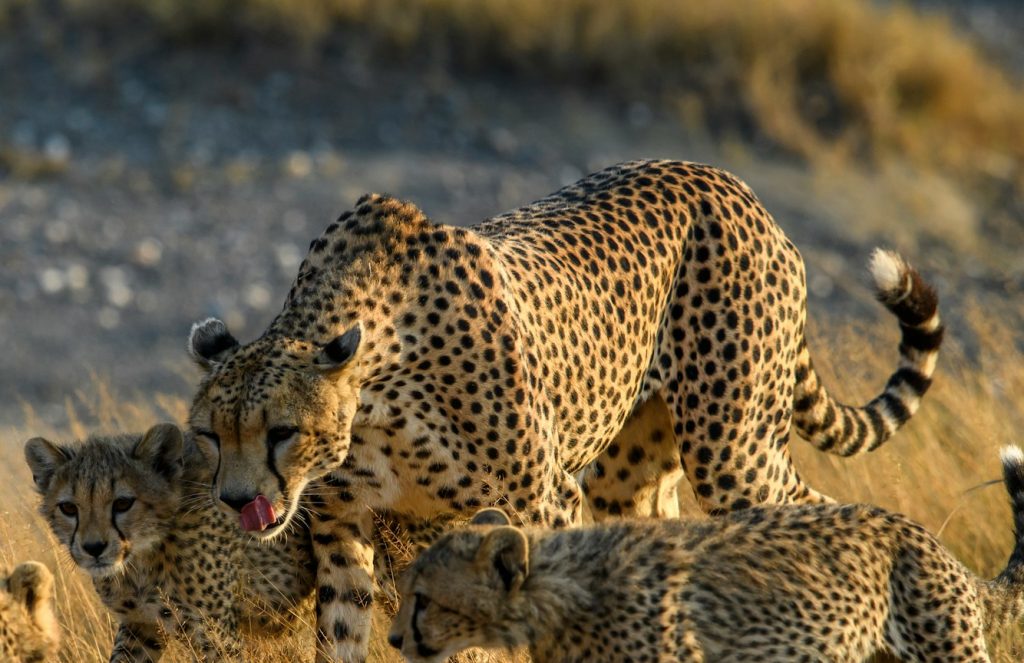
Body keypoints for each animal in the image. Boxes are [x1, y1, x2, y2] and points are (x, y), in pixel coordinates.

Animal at [184, 159, 943, 661]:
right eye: (211, 436)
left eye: (281, 432)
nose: (237, 499)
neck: (374, 392)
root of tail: (725, 179)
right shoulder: (346, 525)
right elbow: (345, 634)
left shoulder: (544, 504)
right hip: (630, 475)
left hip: (734, 451)